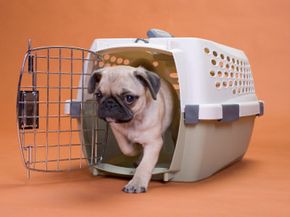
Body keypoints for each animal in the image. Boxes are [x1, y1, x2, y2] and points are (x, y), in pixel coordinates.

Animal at [87, 65, 173, 193]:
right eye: (98, 95)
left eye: (129, 98)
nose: (109, 103)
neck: (132, 121)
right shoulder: (117, 130)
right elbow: (126, 148)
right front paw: (136, 147)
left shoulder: (153, 143)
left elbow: (144, 165)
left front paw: (136, 184)